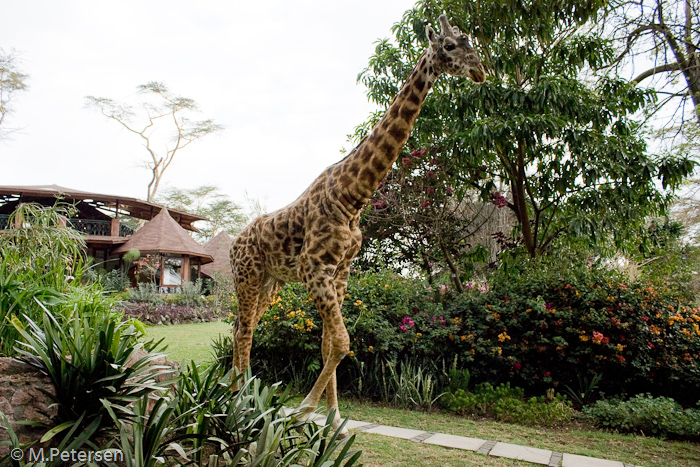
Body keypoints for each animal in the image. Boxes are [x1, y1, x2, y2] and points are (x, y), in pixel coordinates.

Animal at [231, 15, 486, 438]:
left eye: (472, 43)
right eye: (450, 45)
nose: (481, 71)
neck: (353, 196)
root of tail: (235, 241)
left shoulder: (340, 273)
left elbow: (329, 344)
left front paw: (333, 421)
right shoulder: (314, 268)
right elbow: (342, 342)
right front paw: (303, 411)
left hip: (271, 282)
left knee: (243, 326)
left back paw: (244, 395)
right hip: (247, 275)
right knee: (245, 329)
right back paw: (236, 400)